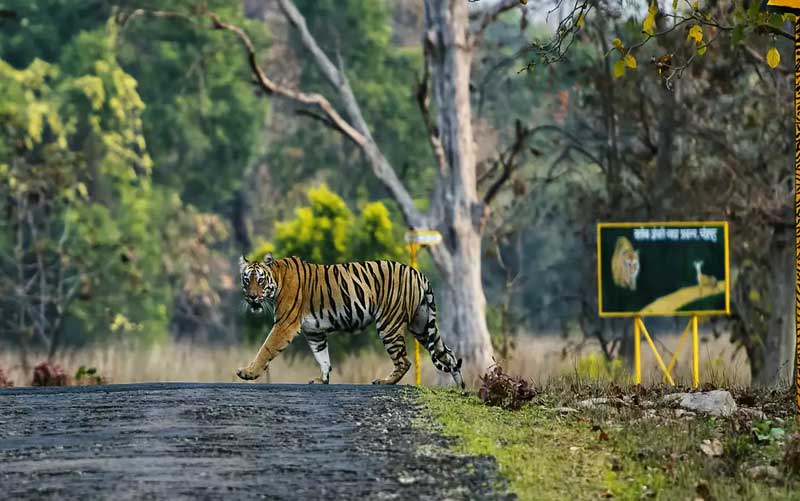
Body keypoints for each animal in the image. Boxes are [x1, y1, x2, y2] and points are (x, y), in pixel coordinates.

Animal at [234, 252, 466, 388]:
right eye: (246, 280)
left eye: (260, 280)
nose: (252, 297)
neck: (277, 280)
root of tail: (418, 273)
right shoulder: (314, 331)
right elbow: (322, 356)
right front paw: (322, 380)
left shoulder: (285, 324)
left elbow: (266, 348)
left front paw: (248, 373)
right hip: (422, 325)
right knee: (448, 354)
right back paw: (461, 388)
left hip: (389, 324)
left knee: (404, 361)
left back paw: (385, 381)